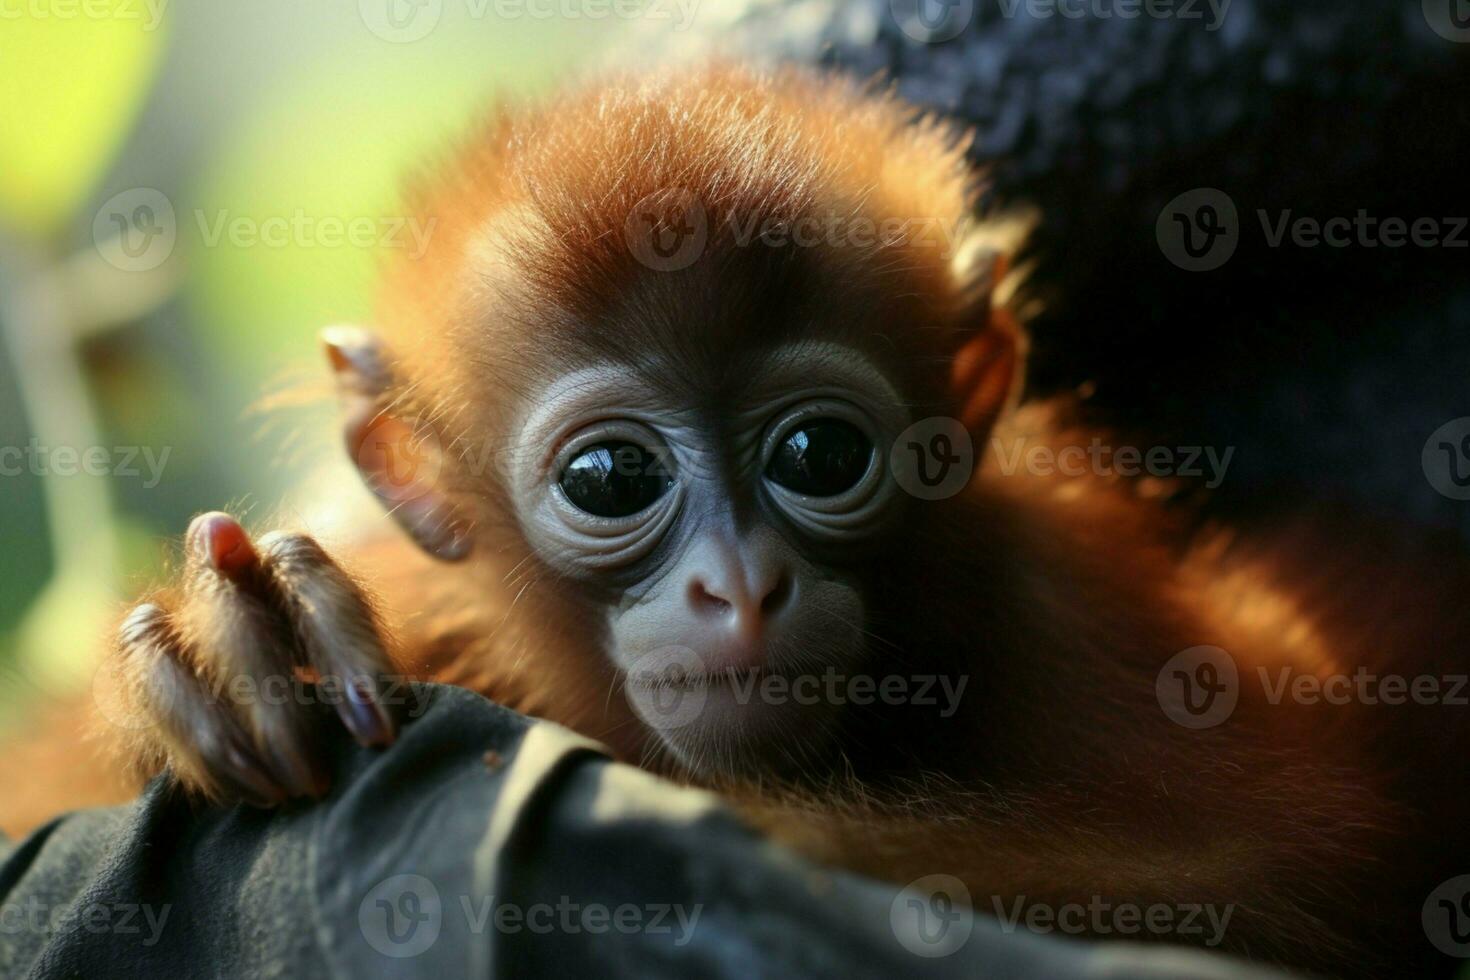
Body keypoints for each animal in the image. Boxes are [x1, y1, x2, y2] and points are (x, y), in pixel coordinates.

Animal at [103, 65, 1470, 975]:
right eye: (612, 477)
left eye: (822, 454)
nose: (741, 585)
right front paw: (240, 635)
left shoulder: (1061, 590)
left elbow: (1261, 857)